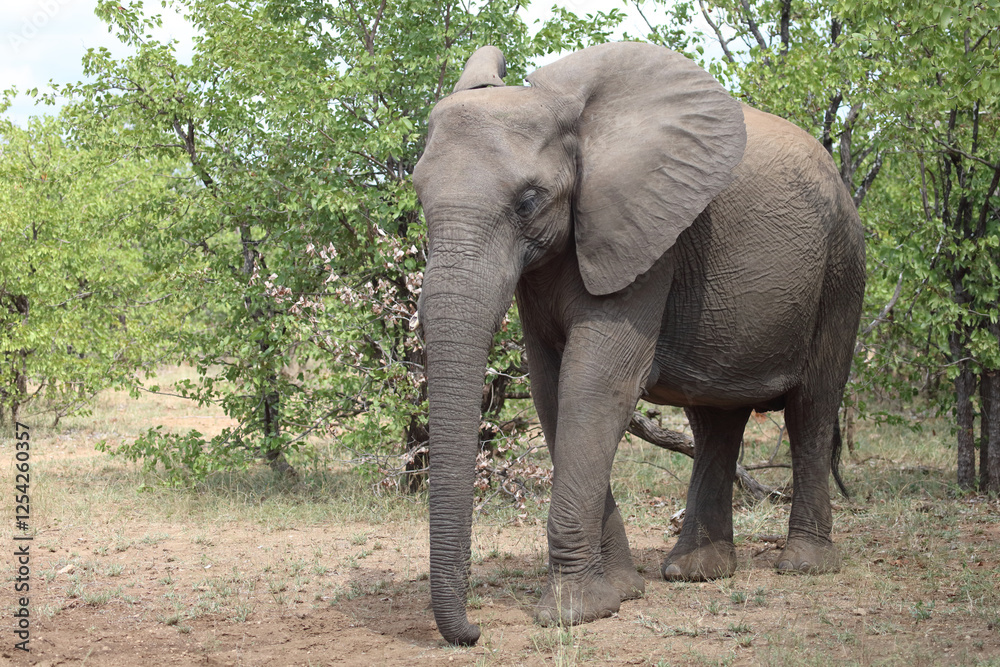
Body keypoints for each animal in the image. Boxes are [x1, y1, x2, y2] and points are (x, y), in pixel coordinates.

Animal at [412, 42, 865, 646]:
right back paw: (696, 572)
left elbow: (595, 386)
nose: (474, 632)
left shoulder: (645, 238)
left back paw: (803, 566)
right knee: (715, 420)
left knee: (812, 406)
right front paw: (621, 595)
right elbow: (553, 392)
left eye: (529, 201)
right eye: (419, 197)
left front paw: (572, 613)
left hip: (842, 269)